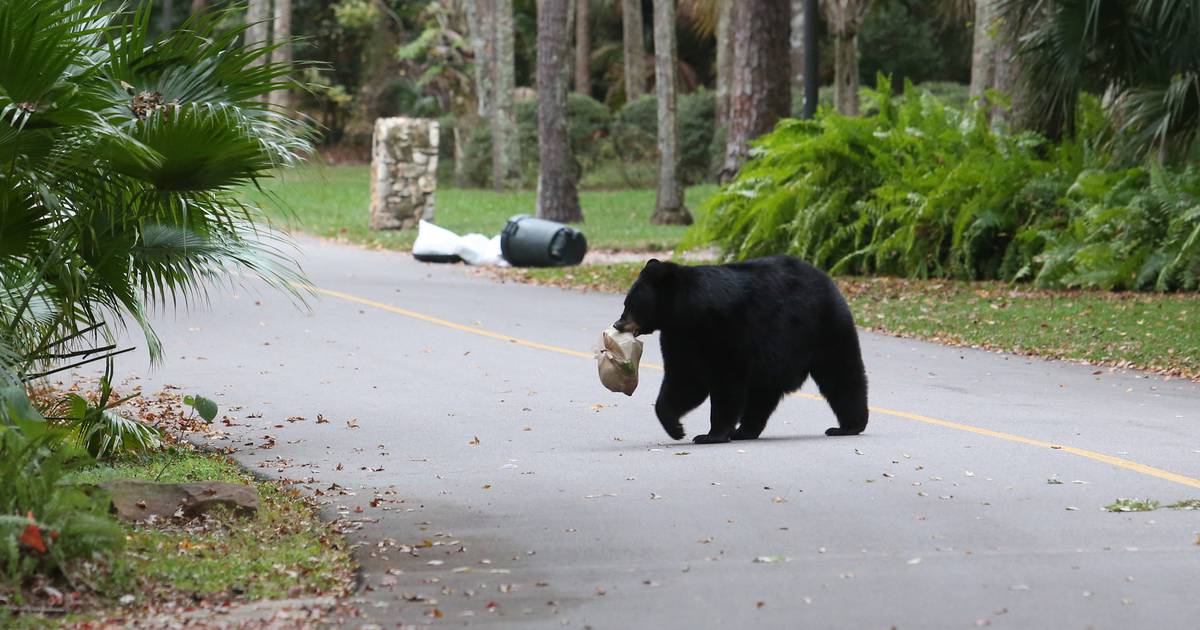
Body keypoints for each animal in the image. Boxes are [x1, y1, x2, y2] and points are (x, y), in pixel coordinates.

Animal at [612, 256, 868, 444]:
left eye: (630, 304)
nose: (617, 324)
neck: (688, 311)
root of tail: (828, 280)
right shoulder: (681, 338)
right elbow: (685, 379)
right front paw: (676, 428)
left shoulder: (726, 329)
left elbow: (725, 382)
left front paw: (710, 435)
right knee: (763, 395)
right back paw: (745, 431)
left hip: (822, 330)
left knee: (841, 375)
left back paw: (849, 425)